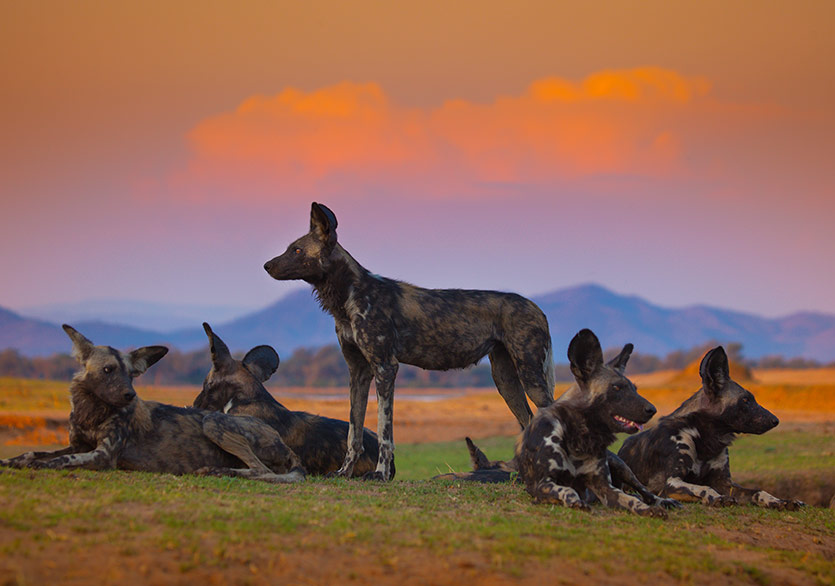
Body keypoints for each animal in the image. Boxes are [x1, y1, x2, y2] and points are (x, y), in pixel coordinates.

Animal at [0, 322, 306, 482]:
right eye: (109, 370)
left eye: (132, 374)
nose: (130, 395)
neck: (92, 412)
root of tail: (281, 440)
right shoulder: (79, 445)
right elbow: (33, 453)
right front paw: (11, 460)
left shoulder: (101, 455)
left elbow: (61, 459)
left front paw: (40, 465)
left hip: (212, 421)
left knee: (260, 471)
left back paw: (216, 470)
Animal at [264, 202, 560, 480]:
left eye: (297, 251)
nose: (267, 265)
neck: (350, 295)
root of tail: (536, 307)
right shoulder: (358, 372)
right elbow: (353, 432)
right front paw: (344, 472)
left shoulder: (385, 367)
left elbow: (385, 432)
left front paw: (380, 474)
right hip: (505, 380)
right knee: (528, 422)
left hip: (530, 377)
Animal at [438, 328, 680, 516]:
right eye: (617, 388)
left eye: (635, 389)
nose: (652, 410)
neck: (579, 437)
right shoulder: (542, 485)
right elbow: (568, 490)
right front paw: (576, 502)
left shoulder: (606, 487)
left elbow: (631, 499)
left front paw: (648, 509)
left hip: (622, 467)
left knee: (644, 491)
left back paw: (664, 502)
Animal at [620, 346, 804, 506]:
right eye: (745, 400)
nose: (775, 420)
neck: (705, 438)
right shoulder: (670, 482)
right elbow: (704, 488)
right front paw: (717, 498)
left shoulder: (725, 483)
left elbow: (758, 491)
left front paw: (780, 501)